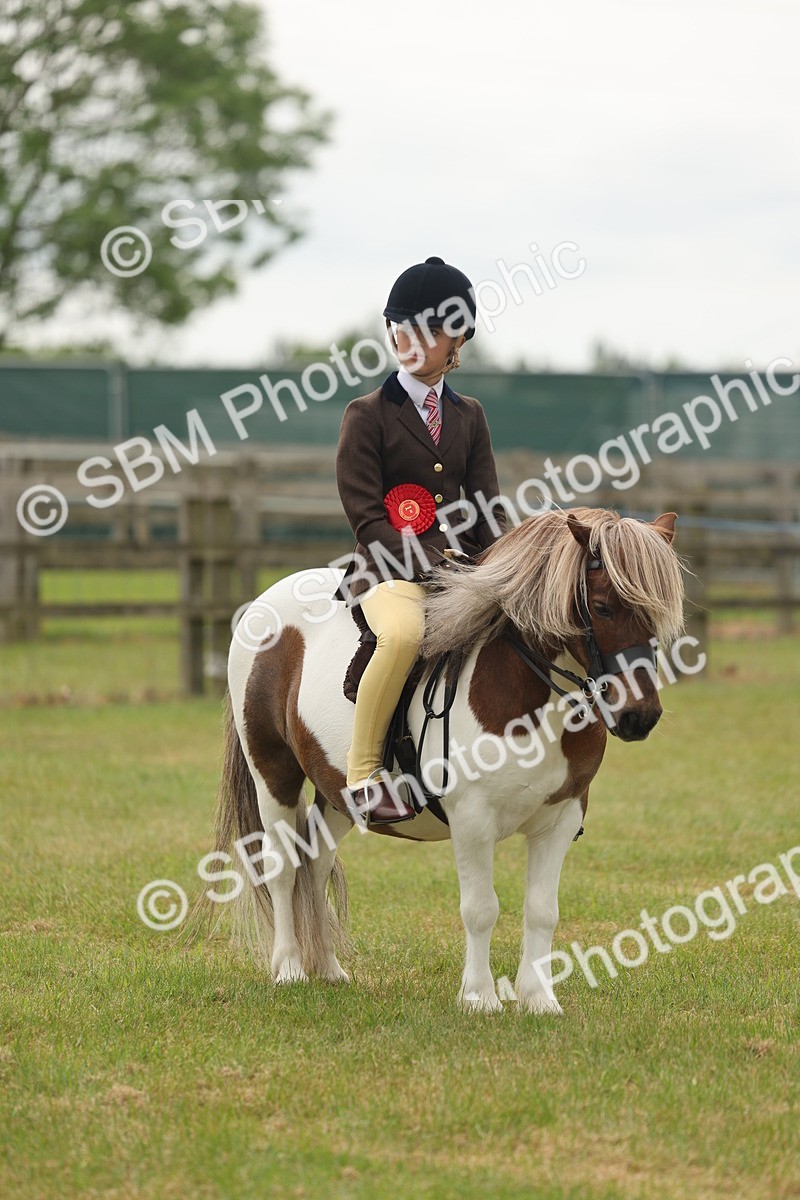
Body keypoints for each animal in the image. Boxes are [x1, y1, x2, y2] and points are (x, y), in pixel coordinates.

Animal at [211, 507, 685, 1014]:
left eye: (658, 612)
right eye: (602, 606)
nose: (639, 716)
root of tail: (265, 602)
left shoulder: (560, 817)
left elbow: (542, 911)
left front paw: (539, 999)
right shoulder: (473, 819)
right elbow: (481, 908)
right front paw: (479, 997)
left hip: (336, 790)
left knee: (315, 862)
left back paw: (330, 970)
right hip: (273, 772)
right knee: (281, 866)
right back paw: (290, 970)